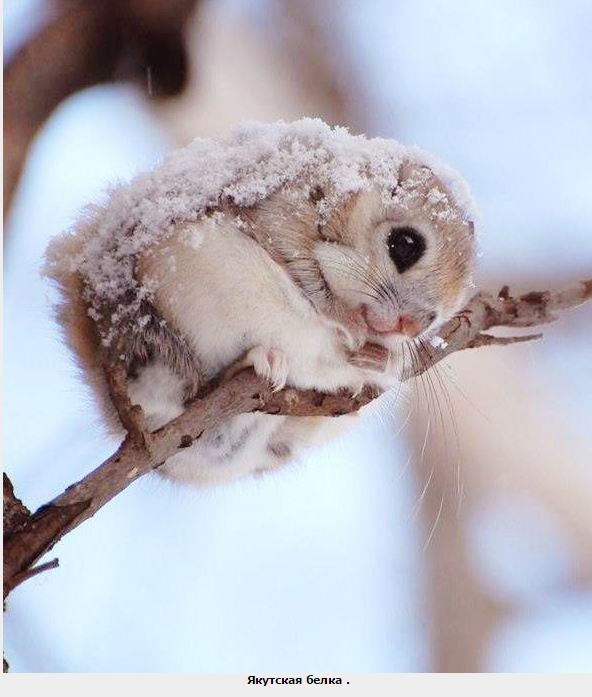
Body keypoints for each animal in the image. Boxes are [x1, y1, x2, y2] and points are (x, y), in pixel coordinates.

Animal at [44, 119, 477, 486]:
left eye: (442, 314)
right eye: (404, 244)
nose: (413, 325)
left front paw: (384, 358)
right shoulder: (282, 210)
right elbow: (306, 272)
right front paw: (346, 323)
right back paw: (252, 362)